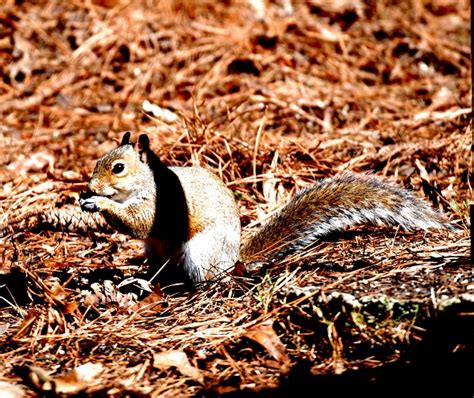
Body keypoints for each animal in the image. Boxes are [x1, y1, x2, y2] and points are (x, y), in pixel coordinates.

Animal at [79, 133, 454, 290]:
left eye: (118, 168)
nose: (91, 186)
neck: (147, 182)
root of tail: (234, 258)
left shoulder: (160, 205)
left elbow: (139, 222)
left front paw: (100, 203)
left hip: (200, 253)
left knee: (208, 280)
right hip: (157, 251)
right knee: (162, 271)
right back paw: (143, 280)